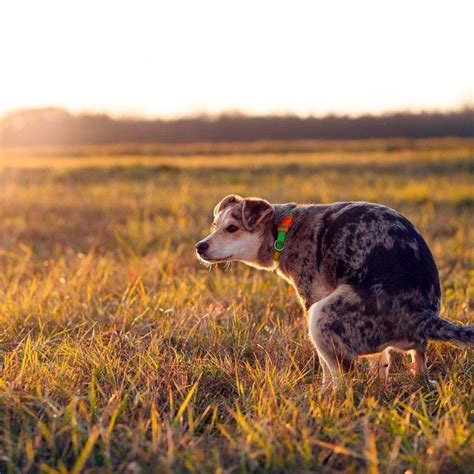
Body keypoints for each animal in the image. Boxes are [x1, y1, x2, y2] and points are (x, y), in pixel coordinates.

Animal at [195, 195, 470, 388]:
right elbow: (381, 360)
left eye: (232, 228)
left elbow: (324, 365)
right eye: (214, 225)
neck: (282, 231)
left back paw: (331, 397)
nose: (200, 246)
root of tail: (422, 316)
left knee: (343, 376)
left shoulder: (311, 297)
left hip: (322, 315)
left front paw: (323, 388)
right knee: (409, 363)